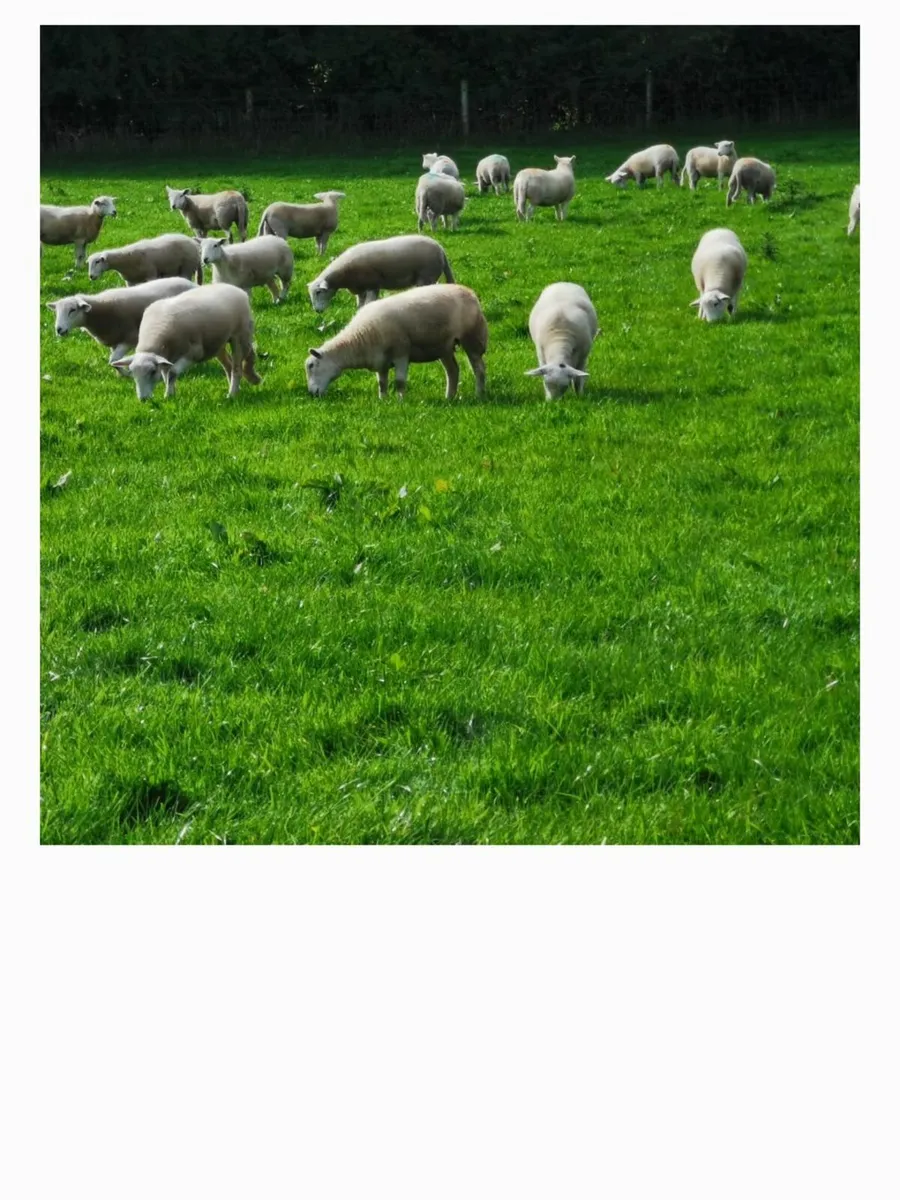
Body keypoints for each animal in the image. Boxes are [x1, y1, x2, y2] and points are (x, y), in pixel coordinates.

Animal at [46, 278, 197, 364]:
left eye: (72, 310)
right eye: (56, 312)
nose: (59, 329)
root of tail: (192, 284)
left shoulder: (130, 337)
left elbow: (113, 360)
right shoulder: (114, 339)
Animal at [109, 282, 261, 402]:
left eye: (152, 371)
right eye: (132, 373)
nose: (143, 399)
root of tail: (234, 288)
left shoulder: (194, 353)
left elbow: (172, 373)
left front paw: (168, 395)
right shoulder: (166, 357)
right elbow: (166, 376)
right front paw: (170, 393)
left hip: (239, 336)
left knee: (237, 367)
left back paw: (233, 393)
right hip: (218, 342)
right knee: (230, 364)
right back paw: (243, 384)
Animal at [304, 283, 487, 401]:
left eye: (312, 366)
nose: (312, 393)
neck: (358, 339)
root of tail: (470, 292)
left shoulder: (401, 352)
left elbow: (399, 382)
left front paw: (400, 402)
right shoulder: (380, 360)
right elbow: (382, 383)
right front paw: (383, 401)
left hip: (472, 337)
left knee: (479, 369)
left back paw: (479, 395)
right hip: (444, 346)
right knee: (452, 371)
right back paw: (449, 398)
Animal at [307, 235, 454, 312]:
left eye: (319, 292)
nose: (317, 311)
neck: (344, 274)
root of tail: (440, 249)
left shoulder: (372, 284)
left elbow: (368, 304)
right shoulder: (360, 288)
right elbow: (360, 306)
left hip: (426, 276)